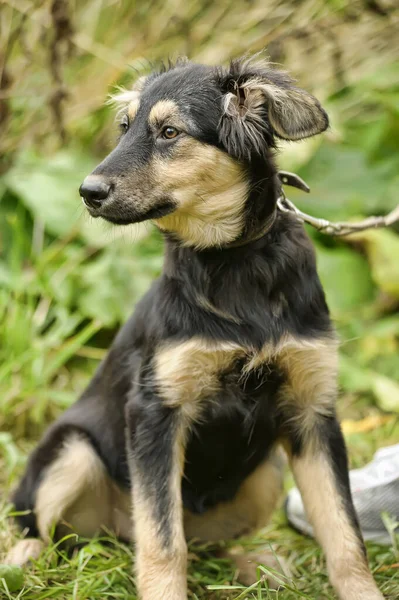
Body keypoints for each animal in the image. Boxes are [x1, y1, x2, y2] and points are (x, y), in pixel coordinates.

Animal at [5, 57, 384, 600]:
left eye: (169, 132)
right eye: (124, 128)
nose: (87, 193)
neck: (233, 259)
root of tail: (113, 537)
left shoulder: (313, 412)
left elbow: (343, 530)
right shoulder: (156, 411)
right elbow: (164, 541)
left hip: (266, 476)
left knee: (203, 545)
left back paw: (254, 564)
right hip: (71, 452)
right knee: (52, 530)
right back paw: (21, 560)